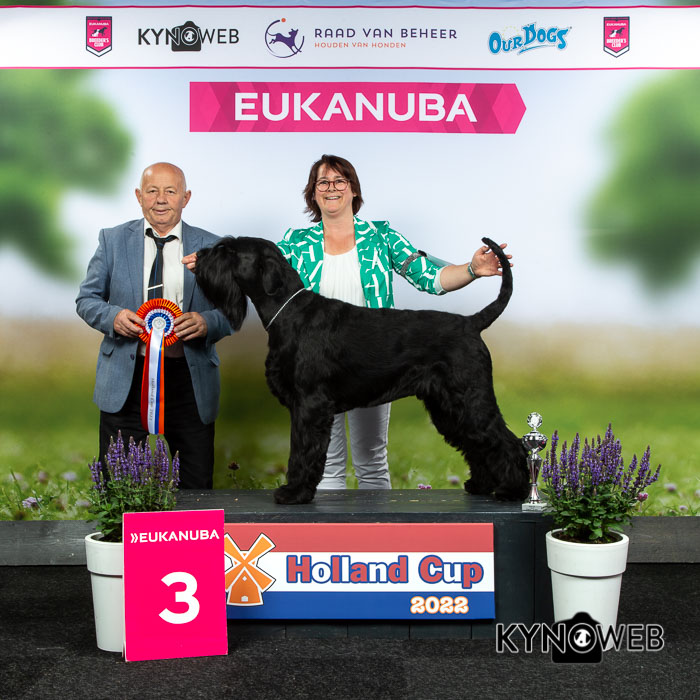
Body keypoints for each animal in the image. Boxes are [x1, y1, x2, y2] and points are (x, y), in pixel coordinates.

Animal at [194, 236, 528, 505]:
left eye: (229, 250)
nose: (199, 256)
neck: (290, 313)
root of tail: (472, 322)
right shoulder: (305, 406)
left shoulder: (310, 405)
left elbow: (302, 449)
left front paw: (294, 493)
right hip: (448, 407)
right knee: (477, 442)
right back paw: (482, 485)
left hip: (469, 398)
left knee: (506, 441)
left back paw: (513, 491)